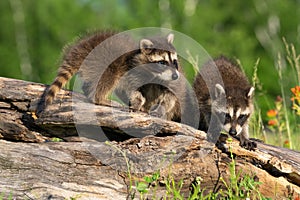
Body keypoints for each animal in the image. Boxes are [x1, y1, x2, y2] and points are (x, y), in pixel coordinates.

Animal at [37, 31, 183, 121]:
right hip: (106, 62)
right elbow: (134, 91)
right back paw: (100, 98)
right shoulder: (132, 72)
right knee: (107, 79)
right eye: (162, 62)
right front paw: (139, 104)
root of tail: (81, 48)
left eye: (174, 62)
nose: (176, 76)